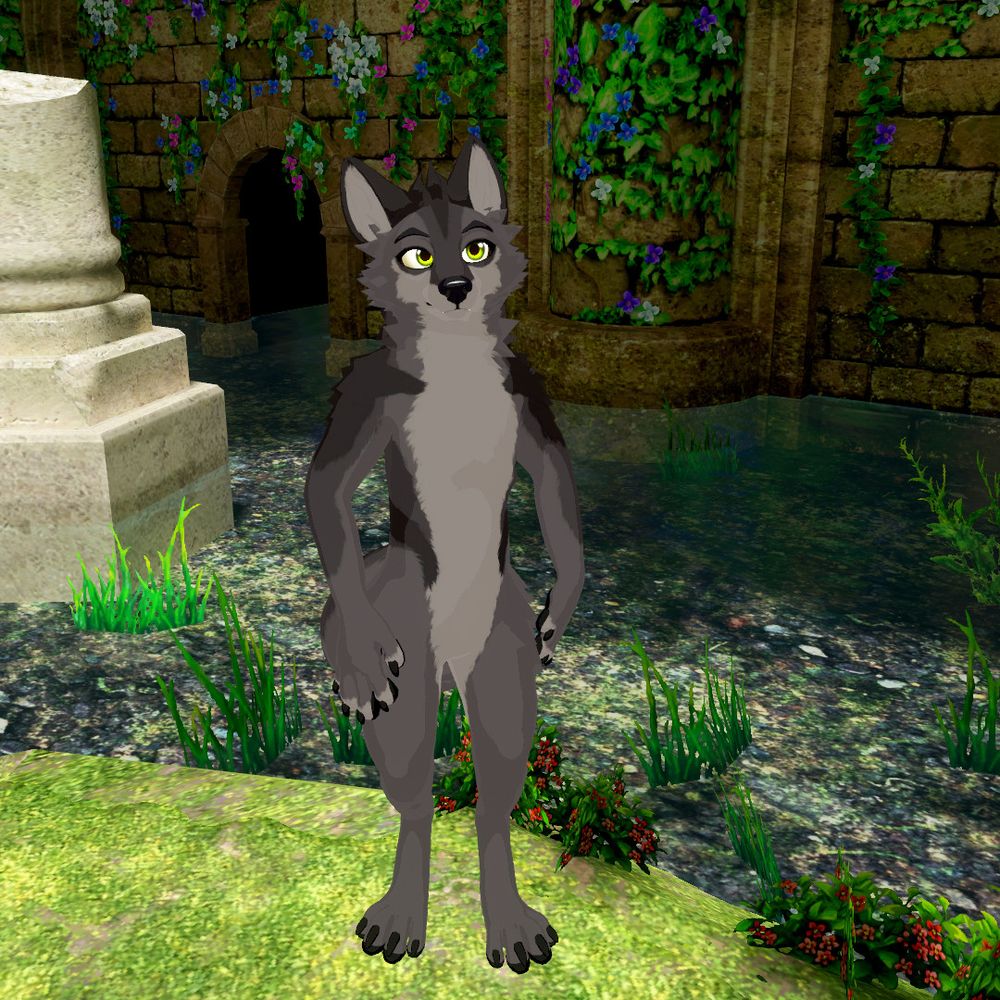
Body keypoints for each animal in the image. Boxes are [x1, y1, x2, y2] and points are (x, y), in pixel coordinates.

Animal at [304, 136, 585, 974]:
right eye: (418, 254)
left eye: (478, 246)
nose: (456, 286)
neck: (457, 360)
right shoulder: (367, 391)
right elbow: (327, 490)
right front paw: (358, 652)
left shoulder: (526, 390)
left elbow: (556, 489)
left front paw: (567, 597)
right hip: (408, 630)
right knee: (413, 790)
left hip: (500, 657)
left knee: (496, 791)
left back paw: (509, 918)